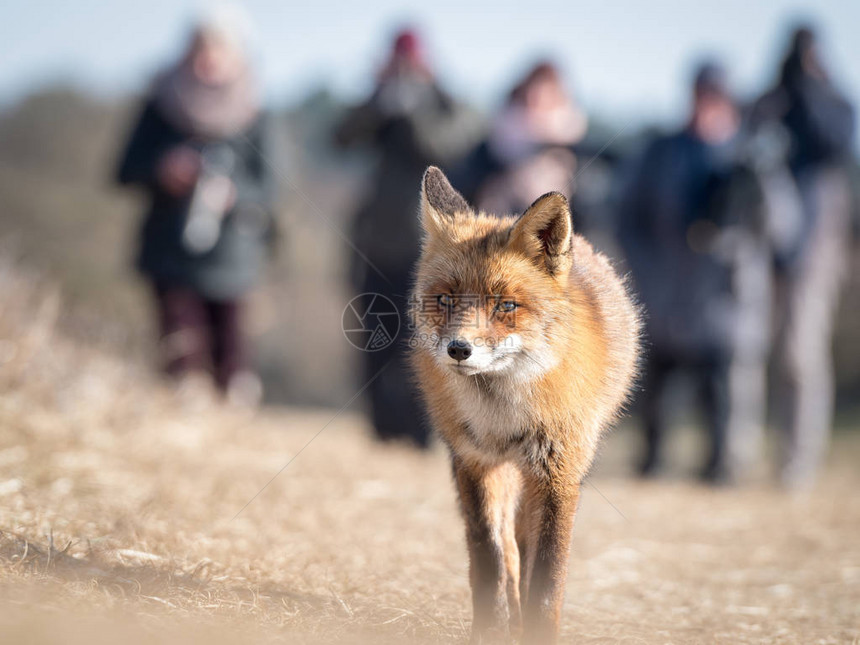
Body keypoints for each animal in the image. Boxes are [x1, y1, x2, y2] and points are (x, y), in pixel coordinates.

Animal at [410, 167, 640, 644]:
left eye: (506, 305)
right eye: (445, 300)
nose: (458, 350)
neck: (504, 416)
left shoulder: (559, 472)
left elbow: (549, 570)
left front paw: (538, 630)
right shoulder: (474, 460)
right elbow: (489, 556)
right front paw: (491, 628)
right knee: (510, 547)